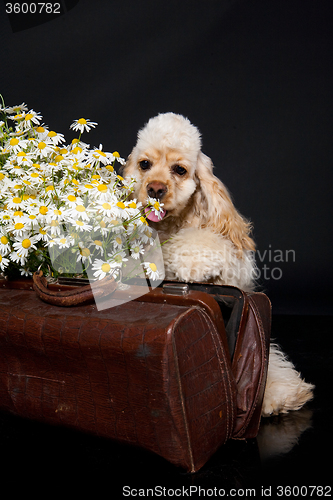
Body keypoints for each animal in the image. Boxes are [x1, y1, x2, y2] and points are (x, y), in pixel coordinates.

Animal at [121, 111, 312, 416]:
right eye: (144, 164)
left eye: (180, 170)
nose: (155, 188)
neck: (168, 227)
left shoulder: (231, 273)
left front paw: (193, 262)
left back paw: (278, 393)